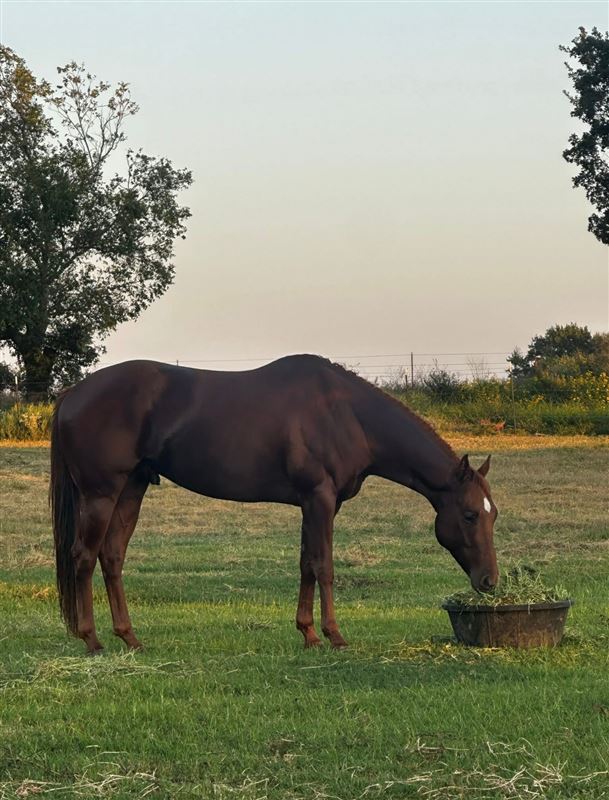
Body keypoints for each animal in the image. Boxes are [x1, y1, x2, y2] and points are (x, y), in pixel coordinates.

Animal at [50, 354, 499, 654]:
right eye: (470, 514)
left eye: (494, 515)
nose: (490, 581)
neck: (346, 414)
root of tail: (72, 394)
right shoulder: (319, 498)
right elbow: (324, 566)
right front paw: (334, 635)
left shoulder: (315, 504)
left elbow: (306, 564)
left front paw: (308, 632)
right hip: (101, 494)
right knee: (84, 556)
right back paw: (91, 640)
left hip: (132, 488)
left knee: (112, 556)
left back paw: (129, 637)